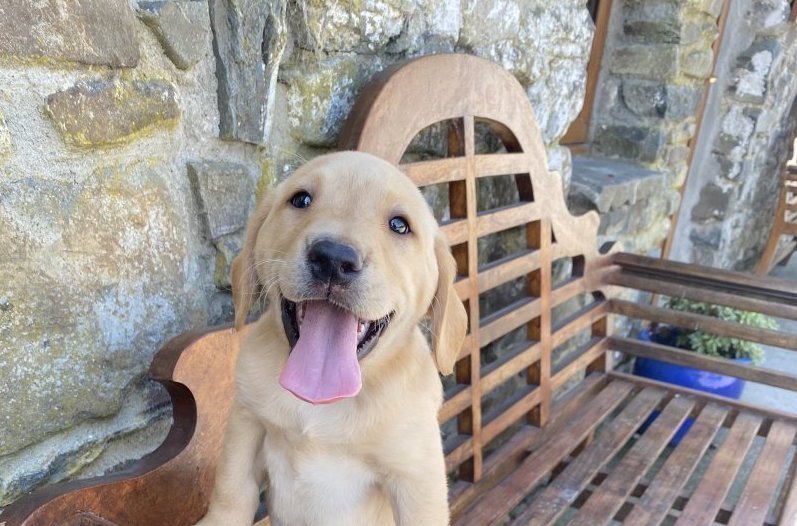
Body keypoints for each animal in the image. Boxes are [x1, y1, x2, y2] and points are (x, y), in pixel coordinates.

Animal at [196, 152, 466, 526]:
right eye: (301, 200)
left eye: (400, 225)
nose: (334, 258)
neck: (322, 403)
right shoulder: (246, 421)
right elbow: (231, 492)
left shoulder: (416, 477)